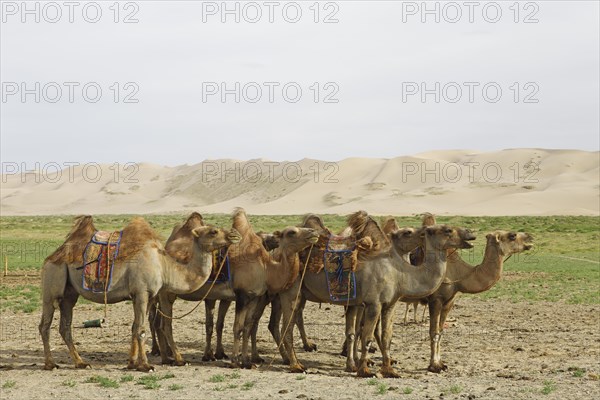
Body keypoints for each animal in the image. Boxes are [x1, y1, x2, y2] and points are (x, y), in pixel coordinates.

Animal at [38, 216, 241, 372]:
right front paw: (146, 366)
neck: (163, 265)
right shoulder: (142, 292)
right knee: (44, 325)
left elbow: (135, 327)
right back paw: (50, 364)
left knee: (65, 326)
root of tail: (54, 255)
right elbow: (142, 329)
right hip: (52, 283)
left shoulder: (147, 296)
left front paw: (132, 364)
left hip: (70, 294)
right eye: (213, 231)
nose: (234, 234)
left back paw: (81, 363)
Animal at [151, 209, 318, 368]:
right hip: (166, 294)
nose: (314, 232)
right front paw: (234, 362)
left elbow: (247, 327)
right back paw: (178, 359)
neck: (266, 268)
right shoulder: (241, 296)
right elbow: (237, 327)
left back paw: (166, 358)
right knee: (165, 324)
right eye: (291, 232)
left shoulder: (254, 297)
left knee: (159, 323)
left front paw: (246, 362)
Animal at [278, 211, 478, 376]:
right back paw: (296, 365)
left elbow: (386, 336)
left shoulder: (390, 304)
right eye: (448, 230)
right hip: (291, 292)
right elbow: (366, 336)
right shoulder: (373, 303)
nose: (470, 233)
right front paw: (364, 370)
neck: (399, 272)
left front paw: (389, 370)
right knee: (286, 327)